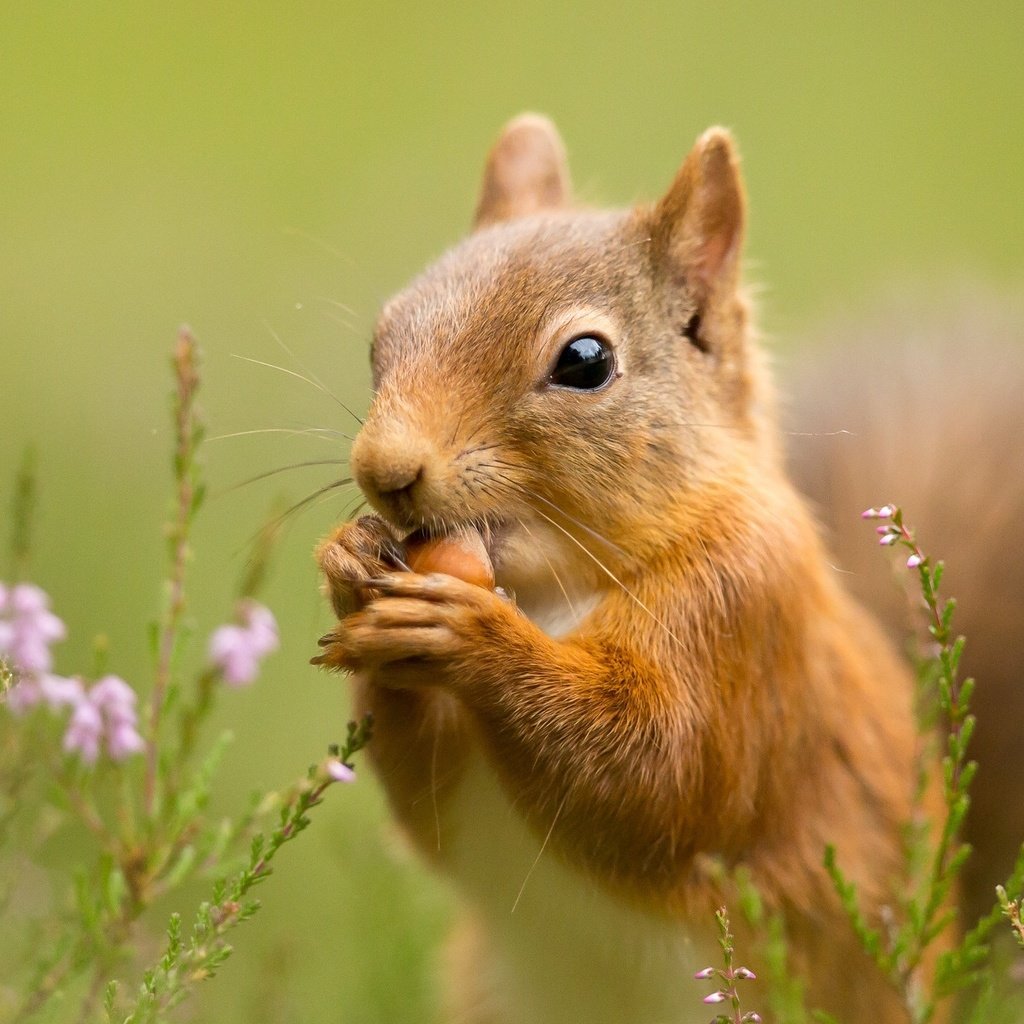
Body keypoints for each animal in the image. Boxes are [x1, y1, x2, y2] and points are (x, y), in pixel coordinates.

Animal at [307, 116, 970, 1019]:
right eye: (383, 336)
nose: (385, 470)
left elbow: (656, 776)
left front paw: (469, 635)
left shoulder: (742, 614)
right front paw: (350, 564)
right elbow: (429, 804)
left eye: (585, 362)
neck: (553, 591)